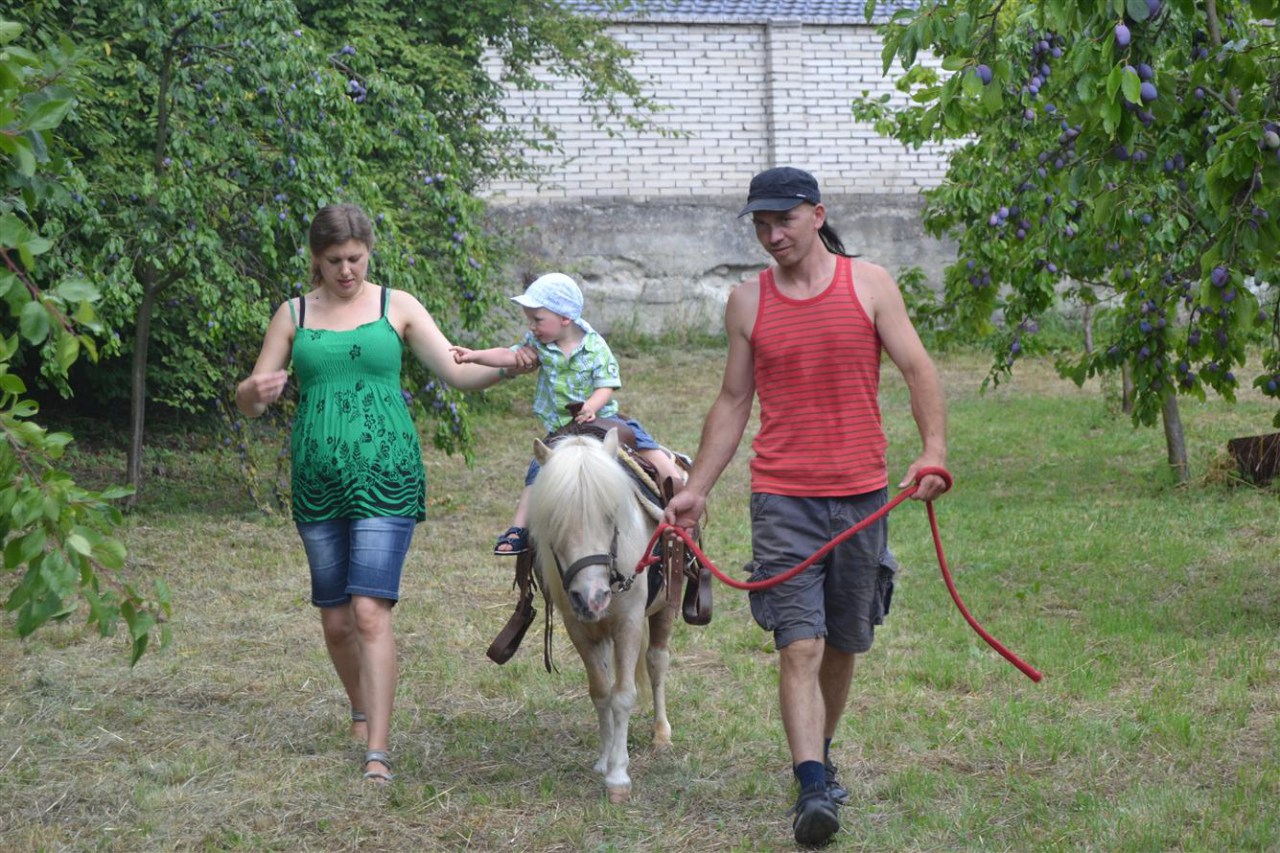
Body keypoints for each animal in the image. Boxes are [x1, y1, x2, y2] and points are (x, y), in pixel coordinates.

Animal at [526, 427, 679, 803]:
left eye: (612, 516)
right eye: (554, 521)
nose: (592, 596)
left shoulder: (629, 624)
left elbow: (623, 696)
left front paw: (618, 776)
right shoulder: (579, 628)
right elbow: (601, 692)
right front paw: (604, 759)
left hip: (664, 609)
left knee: (657, 662)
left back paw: (661, 734)